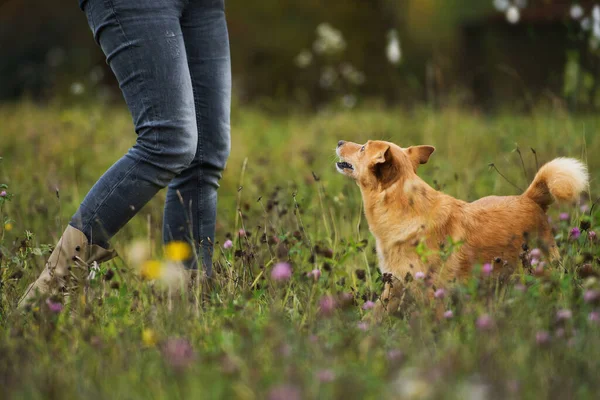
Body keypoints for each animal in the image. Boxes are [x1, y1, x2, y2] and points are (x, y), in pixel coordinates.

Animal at [336, 141, 588, 316]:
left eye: (362, 148)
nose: (339, 142)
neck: (404, 208)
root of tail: (529, 198)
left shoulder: (432, 293)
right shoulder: (394, 285)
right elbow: (374, 317)